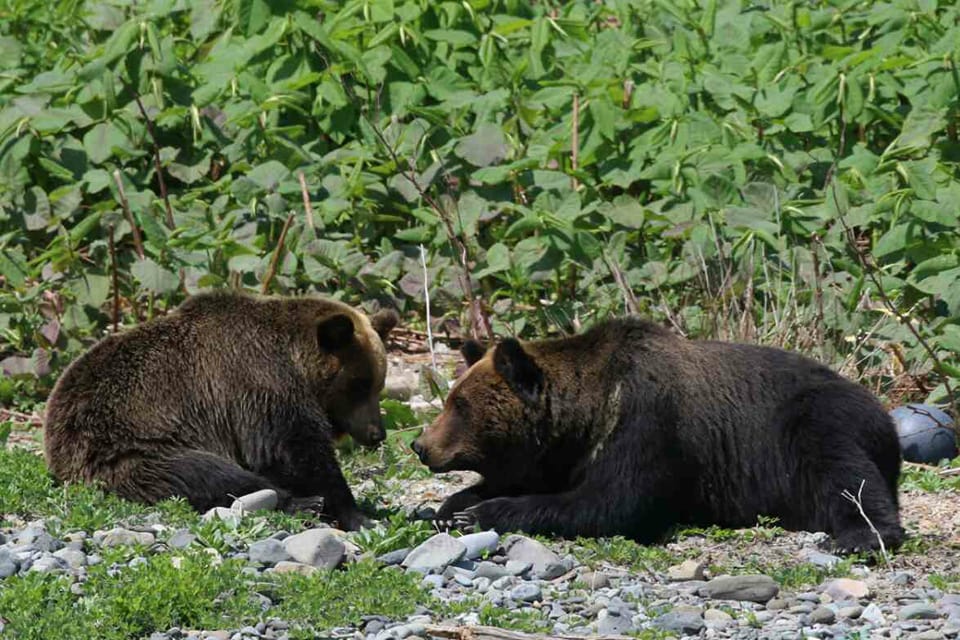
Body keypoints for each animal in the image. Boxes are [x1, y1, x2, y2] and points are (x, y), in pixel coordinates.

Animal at [44, 290, 398, 528]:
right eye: (360, 384)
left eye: (378, 384)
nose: (376, 433)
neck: (294, 360)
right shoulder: (257, 384)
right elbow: (292, 450)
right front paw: (353, 512)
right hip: (131, 447)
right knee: (205, 474)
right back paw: (301, 503)